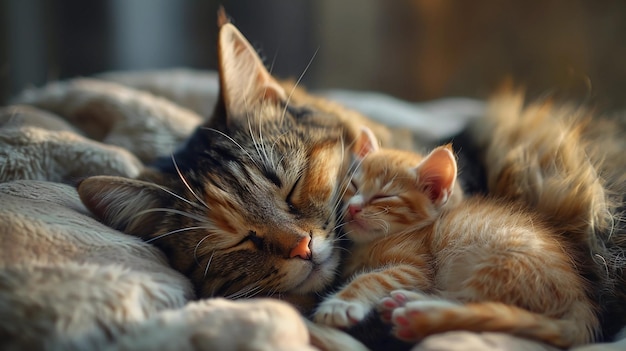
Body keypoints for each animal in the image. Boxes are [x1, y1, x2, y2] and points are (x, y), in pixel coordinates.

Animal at [314, 127, 596, 350]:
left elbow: (371, 278)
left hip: (501, 262)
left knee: (471, 304)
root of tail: (579, 296)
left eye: (384, 196)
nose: (352, 208)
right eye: (353, 186)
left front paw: (340, 304)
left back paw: (417, 309)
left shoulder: (418, 268)